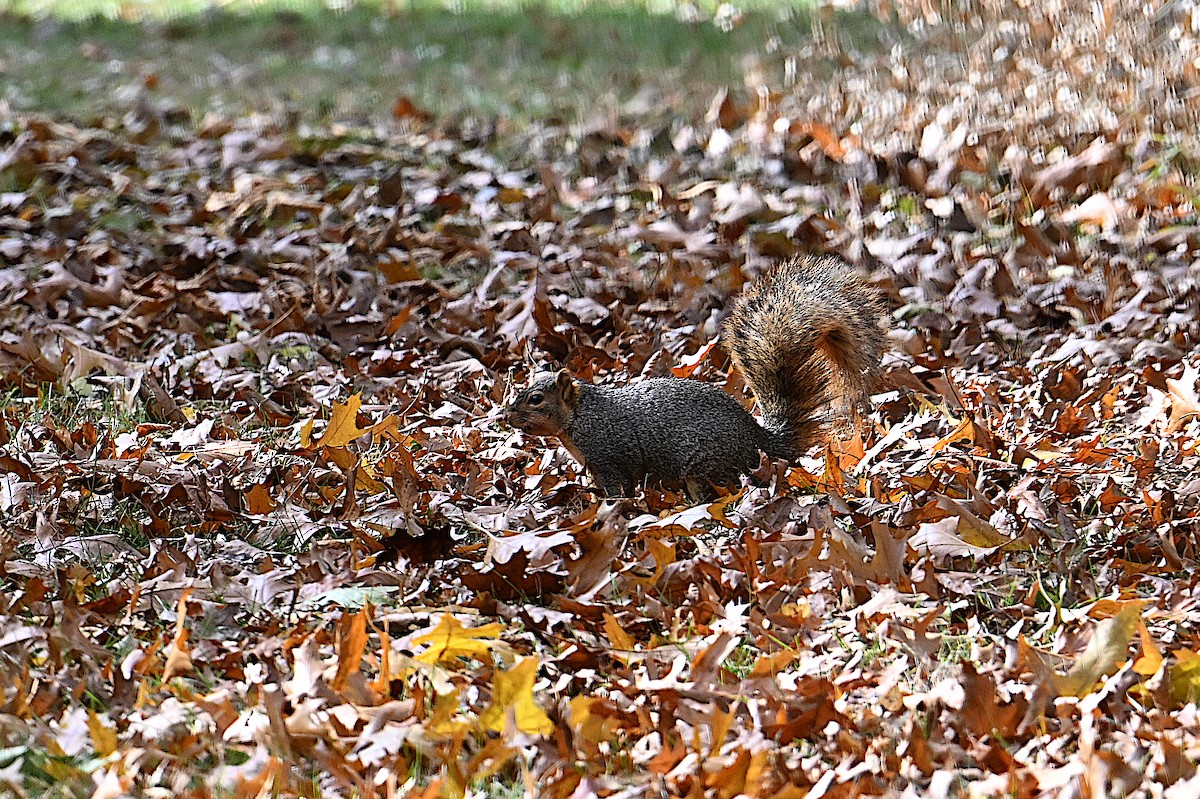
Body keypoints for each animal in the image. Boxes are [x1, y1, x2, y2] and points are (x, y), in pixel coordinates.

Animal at [503, 255, 888, 497]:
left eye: (536, 399)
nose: (506, 416)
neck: (581, 416)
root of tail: (759, 441)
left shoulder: (611, 456)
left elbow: (618, 490)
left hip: (704, 467)